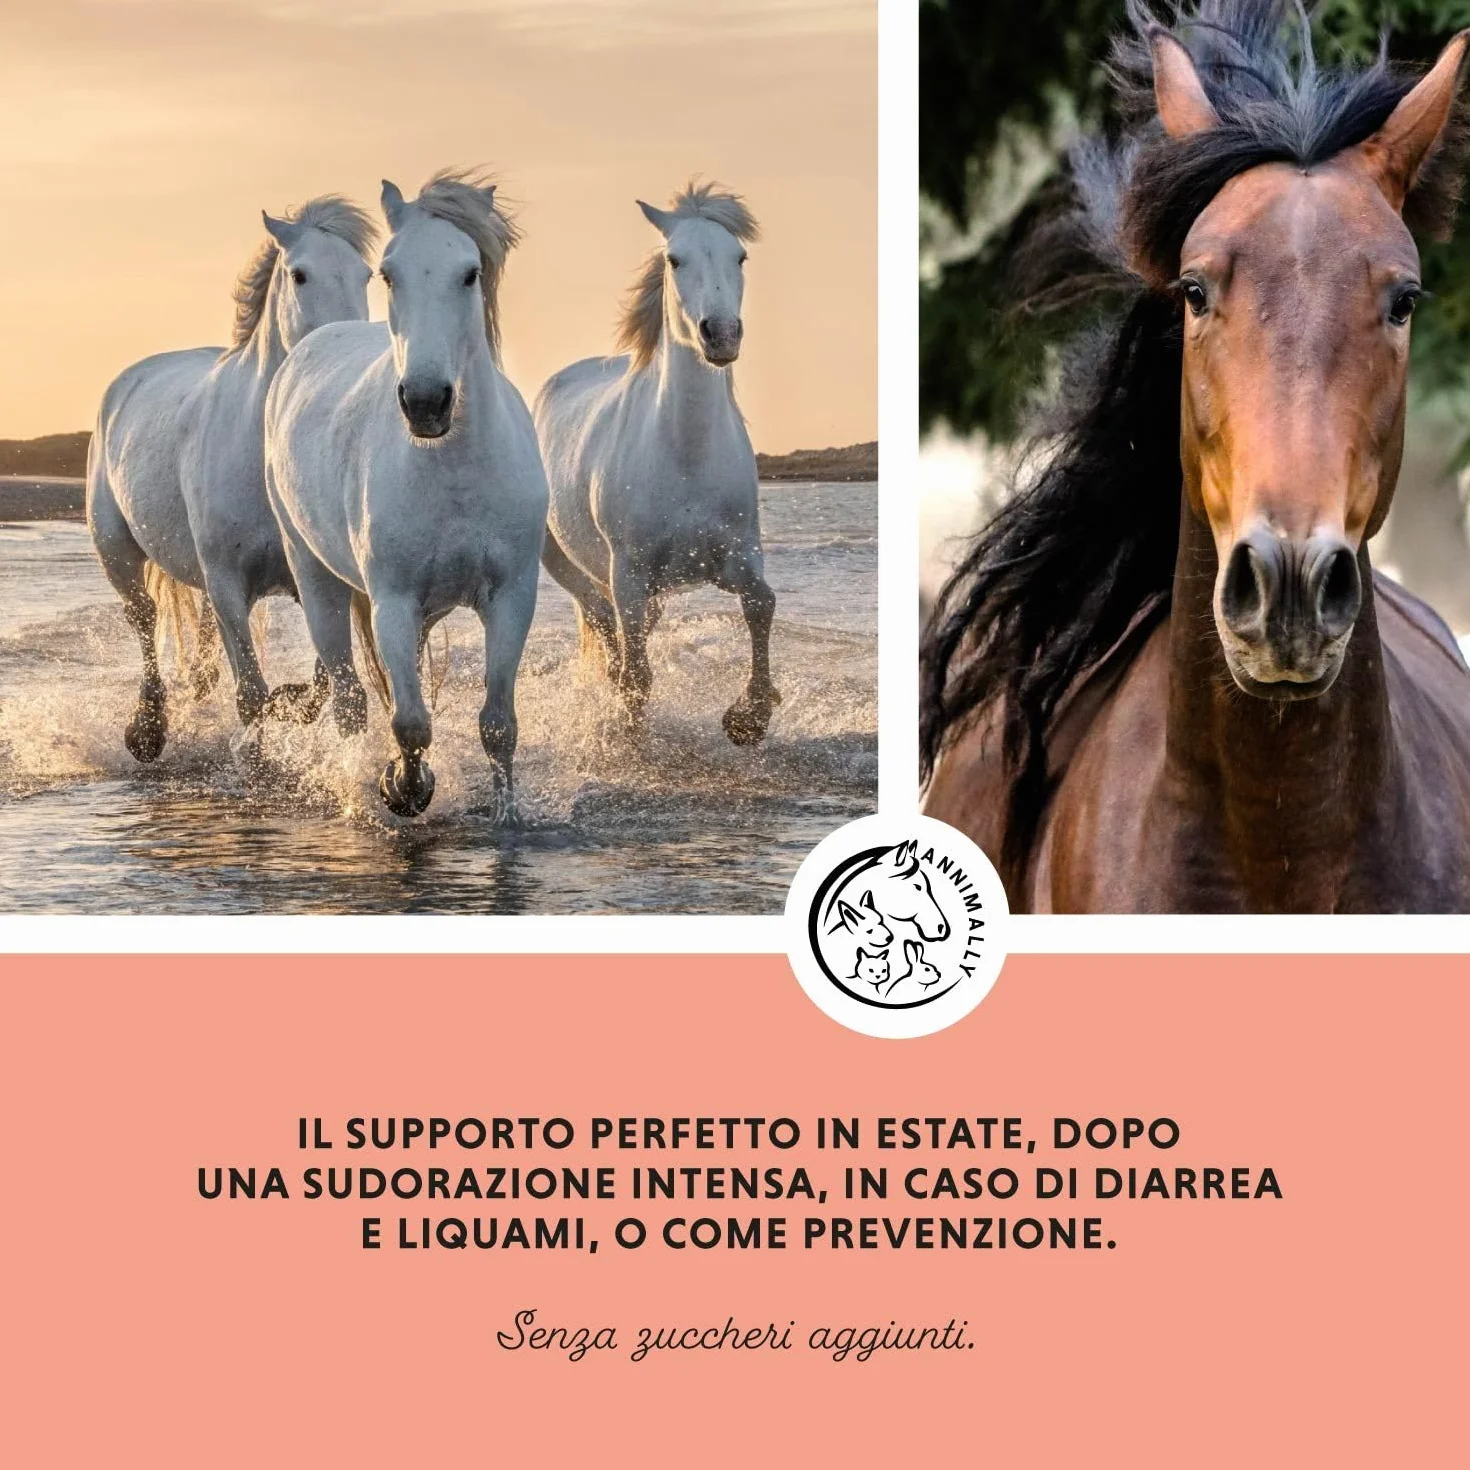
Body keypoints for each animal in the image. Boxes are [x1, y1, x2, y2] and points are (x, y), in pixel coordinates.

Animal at [87, 196, 376, 761]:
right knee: (144, 620)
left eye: (366, 275)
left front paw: (290, 704)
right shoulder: (227, 583)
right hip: (117, 552)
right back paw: (147, 730)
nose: (345, 350)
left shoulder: (312, 576)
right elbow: (251, 694)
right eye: (299, 274)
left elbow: (321, 680)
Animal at [265, 172, 547, 818]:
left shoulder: (511, 597)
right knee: (349, 699)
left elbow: (499, 724)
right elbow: (411, 722)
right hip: (315, 579)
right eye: (389, 274)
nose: (424, 401)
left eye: (469, 272)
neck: (455, 471)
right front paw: (404, 787)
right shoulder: (391, 601)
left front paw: (508, 815)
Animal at [533, 181, 779, 745]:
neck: (686, 456)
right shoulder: (629, 570)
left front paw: (749, 716)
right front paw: (631, 734)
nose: (721, 334)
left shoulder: (738, 555)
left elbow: (762, 603)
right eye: (674, 259)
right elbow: (637, 674)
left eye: (740, 255)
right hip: (568, 563)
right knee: (605, 623)